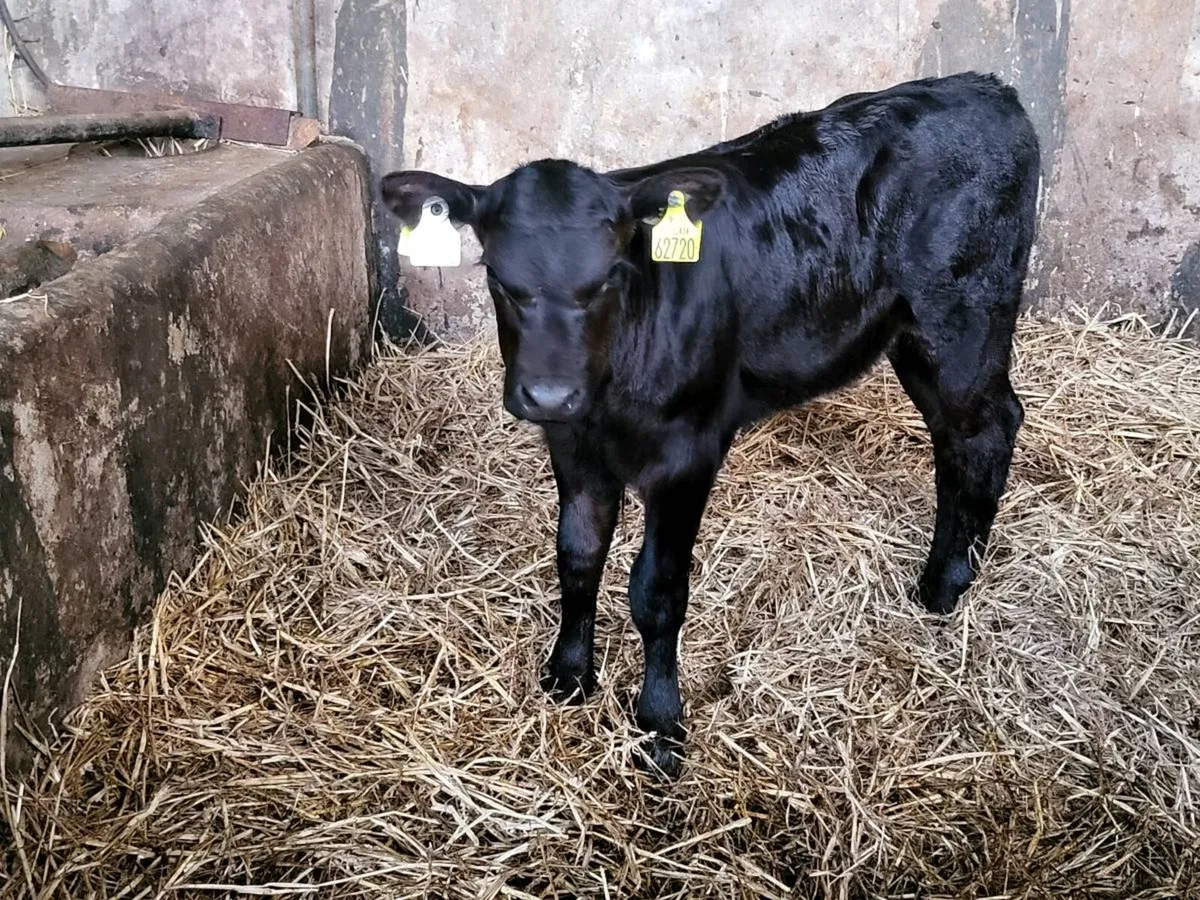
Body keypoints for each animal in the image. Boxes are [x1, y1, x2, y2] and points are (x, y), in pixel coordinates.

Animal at [381, 72, 1039, 777]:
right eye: (500, 279)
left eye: (609, 276)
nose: (550, 393)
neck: (613, 385)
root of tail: (985, 86)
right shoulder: (574, 445)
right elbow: (577, 557)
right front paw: (569, 674)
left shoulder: (686, 454)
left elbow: (657, 591)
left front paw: (660, 726)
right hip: (914, 337)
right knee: (960, 436)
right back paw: (946, 575)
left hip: (965, 319)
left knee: (986, 428)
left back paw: (948, 583)